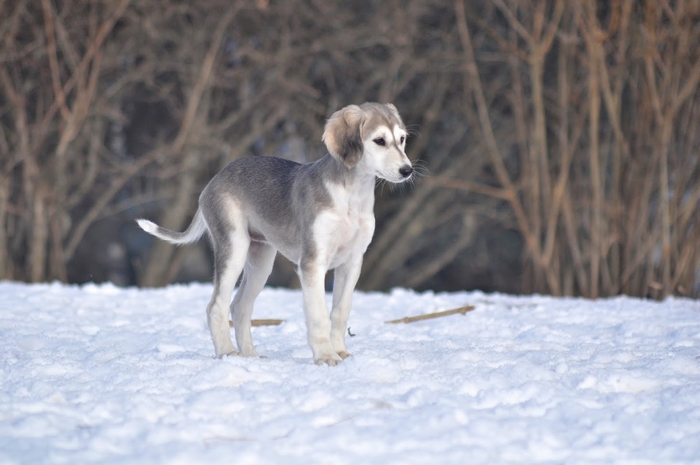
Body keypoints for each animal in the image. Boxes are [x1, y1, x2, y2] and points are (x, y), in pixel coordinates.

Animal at [137, 103, 412, 364]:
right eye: (379, 140)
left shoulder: (352, 262)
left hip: (261, 261)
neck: (351, 197)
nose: (407, 170)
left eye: (402, 139)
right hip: (234, 249)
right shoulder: (312, 263)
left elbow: (340, 311)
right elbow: (319, 315)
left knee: (239, 306)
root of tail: (214, 179)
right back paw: (227, 353)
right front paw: (325, 356)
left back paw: (250, 355)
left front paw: (340, 352)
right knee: (216, 306)